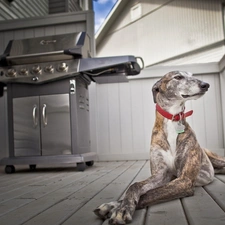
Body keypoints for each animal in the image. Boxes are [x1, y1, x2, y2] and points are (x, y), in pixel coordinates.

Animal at [92, 71, 225, 224]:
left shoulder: (184, 180)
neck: (172, 120)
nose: (205, 85)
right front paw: (114, 205)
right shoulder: (161, 175)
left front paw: (120, 210)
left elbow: (150, 194)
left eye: (192, 75)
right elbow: (135, 185)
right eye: (178, 77)